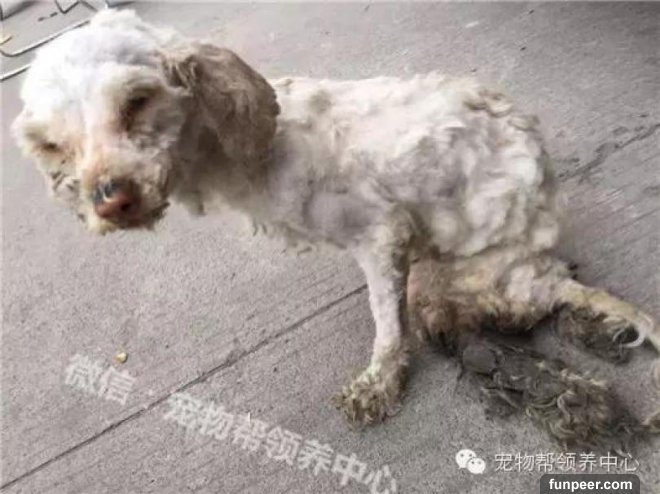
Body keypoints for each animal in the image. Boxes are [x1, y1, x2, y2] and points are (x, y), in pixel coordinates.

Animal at [13, 9, 660, 446]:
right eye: (51, 145)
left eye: (137, 101)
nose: (111, 201)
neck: (259, 148)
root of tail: (541, 266)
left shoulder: (381, 235)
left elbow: (386, 325)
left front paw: (379, 383)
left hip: (453, 273)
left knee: (493, 318)